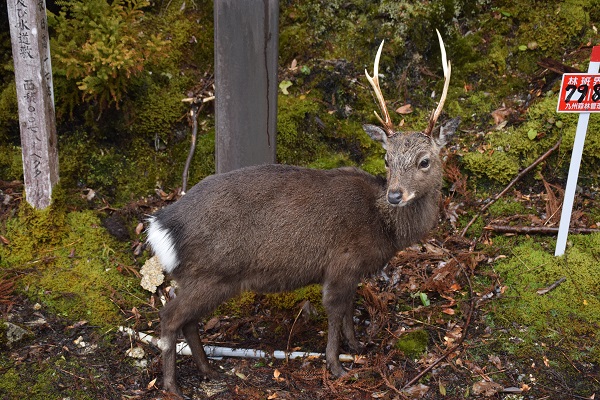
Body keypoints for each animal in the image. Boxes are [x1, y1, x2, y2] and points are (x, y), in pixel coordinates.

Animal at [146, 29, 460, 396]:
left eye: (424, 161)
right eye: (386, 158)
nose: (395, 194)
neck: (383, 228)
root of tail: (162, 224)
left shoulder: (351, 270)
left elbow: (350, 309)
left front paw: (357, 346)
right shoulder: (342, 261)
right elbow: (336, 312)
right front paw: (337, 366)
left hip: (203, 278)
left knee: (189, 321)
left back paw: (209, 370)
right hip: (210, 272)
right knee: (169, 317)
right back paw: (173, 386)